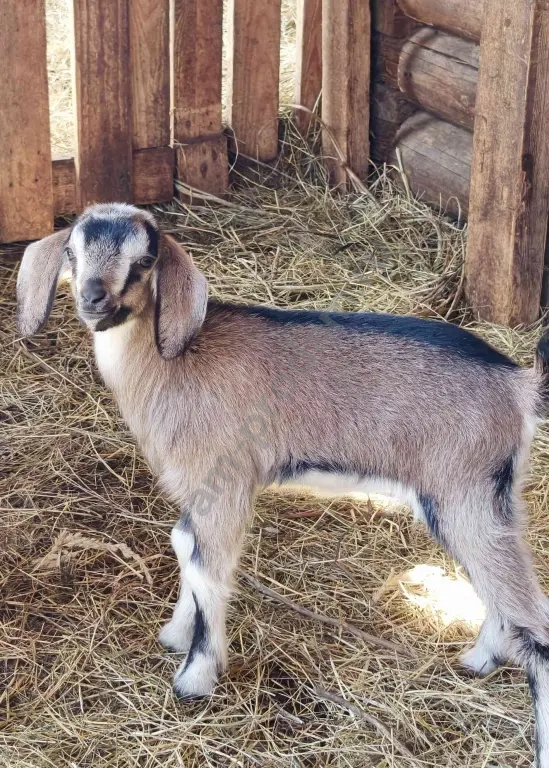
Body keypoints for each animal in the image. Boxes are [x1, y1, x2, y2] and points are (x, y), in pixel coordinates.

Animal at [15, 203, 549, 764]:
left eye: (143, 260)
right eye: (71, 251)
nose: (94, 299)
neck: (173, 367)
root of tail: (519, 386)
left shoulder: (223, 483)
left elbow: (208, 569)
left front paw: (195, 679)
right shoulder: (198, 492)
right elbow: (184, 546)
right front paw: (177, 634)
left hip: (460, 492)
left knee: (534, 620)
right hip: (491, 498)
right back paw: (479, 659)